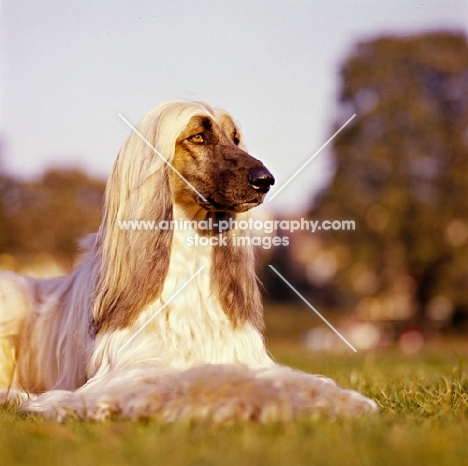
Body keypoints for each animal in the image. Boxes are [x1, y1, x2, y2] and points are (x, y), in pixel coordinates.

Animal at [0, 100, 376, 420]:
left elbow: (291, 378)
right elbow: (208, 379)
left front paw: (343, 398)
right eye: (198, 136)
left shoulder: (242, 353)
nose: (265, 180)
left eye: (235, 138)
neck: (189, 261)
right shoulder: (132, 369)